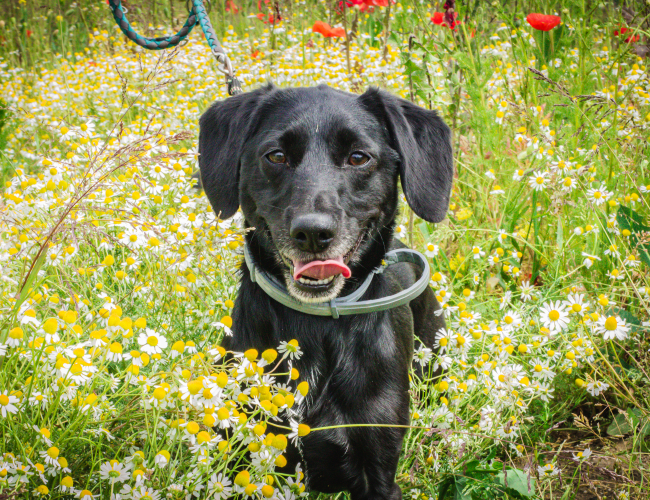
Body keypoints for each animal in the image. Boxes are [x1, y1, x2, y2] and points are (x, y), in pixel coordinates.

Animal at [197, 84, 450, 498]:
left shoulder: (378, 472)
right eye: (276, 155)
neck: (316, 324)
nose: (313, 233)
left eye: (358, 157)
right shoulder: (246, 459)